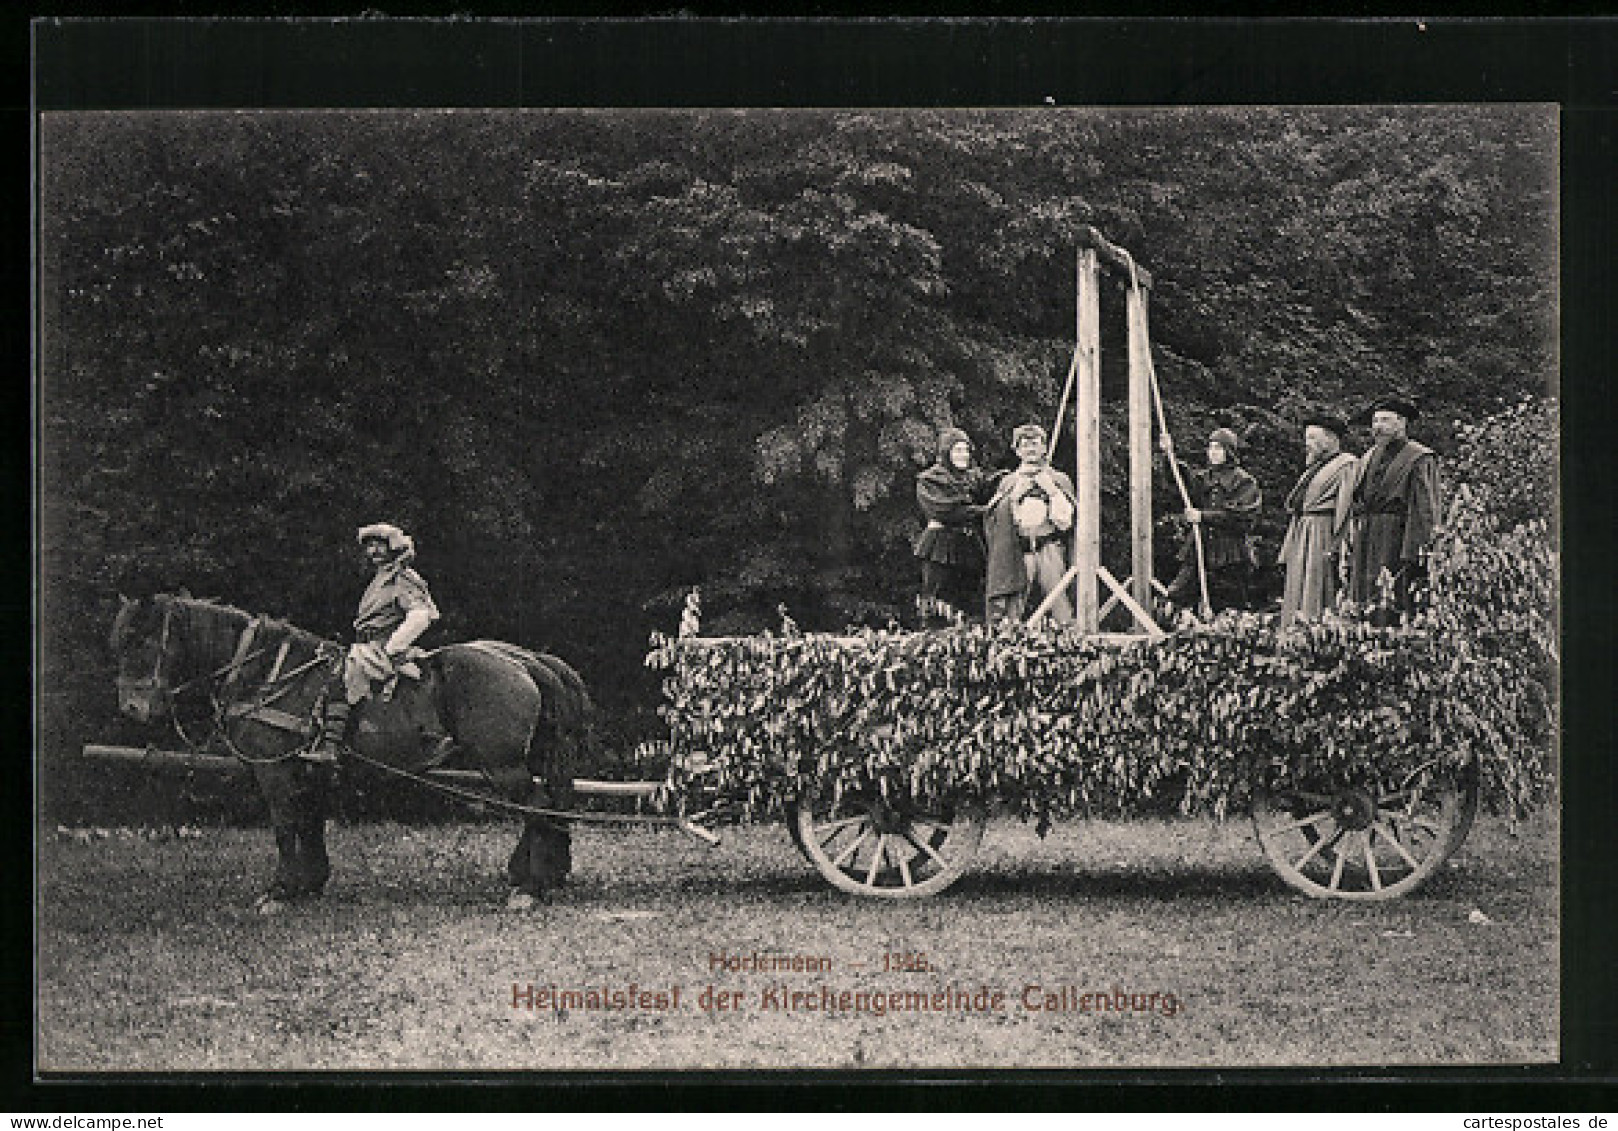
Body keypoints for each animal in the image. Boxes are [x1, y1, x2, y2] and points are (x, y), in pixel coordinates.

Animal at [112, 592, 595, 912]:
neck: (268, 673)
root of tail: (524, 660)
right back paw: (536, 877)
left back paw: (529, 889)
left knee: (537, 807)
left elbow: (285, 827)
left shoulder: (276, 774)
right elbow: (310, 824)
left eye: (144, 642)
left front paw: (279, 891)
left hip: (501, 764)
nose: (132, 709)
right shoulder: (309, 772)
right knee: (546, 807)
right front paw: (309, 884)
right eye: (120, 643)